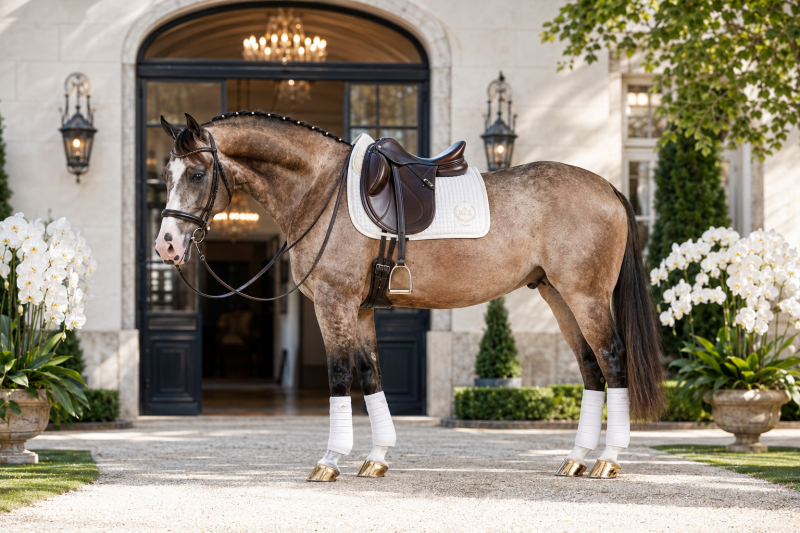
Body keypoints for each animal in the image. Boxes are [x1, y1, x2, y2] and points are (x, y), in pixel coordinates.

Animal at [155, 110, 664, 481]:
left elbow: (340, 376)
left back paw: (608, 460)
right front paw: (376, 458)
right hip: (558, 296)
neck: (320, 189)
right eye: (165, 172)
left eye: (197, 174)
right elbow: (370, 375)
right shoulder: (359, 310)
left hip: (587, 297)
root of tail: (608, 187)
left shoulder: (334, 303)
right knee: (590, 368)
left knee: (613, 359)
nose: (166, 245)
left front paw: (329, 461)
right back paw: (577, 458)